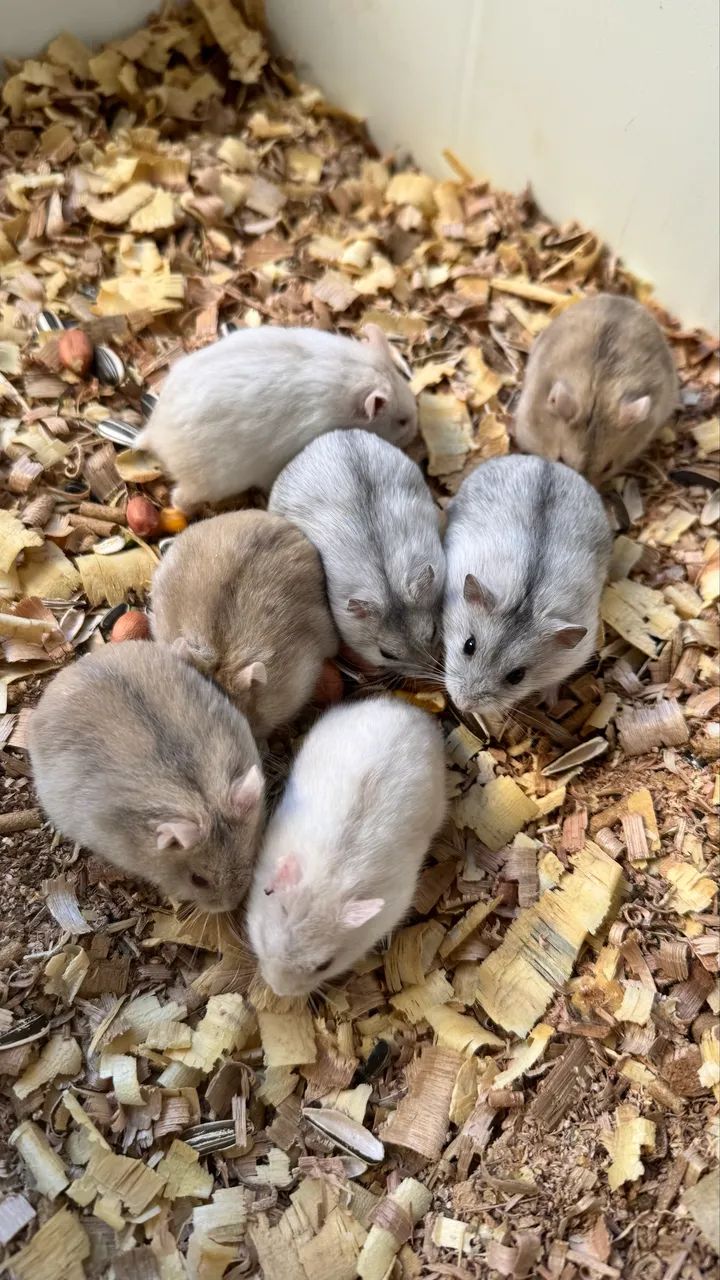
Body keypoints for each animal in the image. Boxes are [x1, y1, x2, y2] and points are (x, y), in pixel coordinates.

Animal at [136, 323, 417, 511]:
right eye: (402, 421)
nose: (416, 437)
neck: (350, 373)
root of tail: (153, 434)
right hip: (209, 482)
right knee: (179, 498)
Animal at [443, 455, 612, 717]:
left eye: (517, 676)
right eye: (468, 646)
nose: (463, 705)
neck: (526, 599)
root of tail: (546, 461)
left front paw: (548, 703)